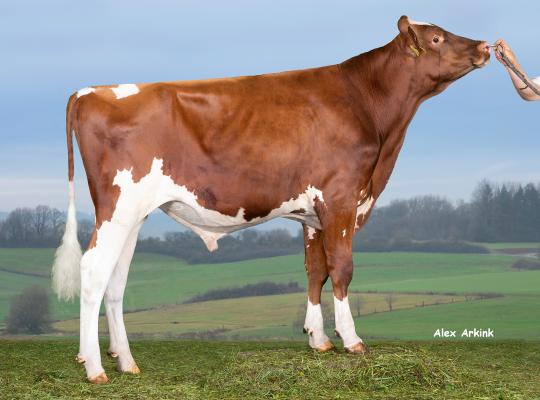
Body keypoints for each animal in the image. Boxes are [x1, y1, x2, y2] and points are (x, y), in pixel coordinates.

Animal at [52, 16, 490, 383]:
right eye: (437, 38)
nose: (486, 45)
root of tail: (91, 91)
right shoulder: (341, 198)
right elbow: (342, 268)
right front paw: (351, 341)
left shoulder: (313, 213)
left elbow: (316, 270)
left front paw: (317, 339)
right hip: (118, 207)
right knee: (94, 269)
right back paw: (94, 367)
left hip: (133, 214)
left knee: (116, 278)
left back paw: (126, 362)